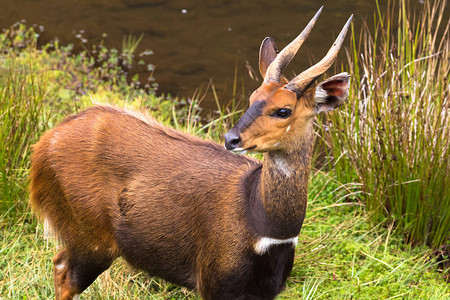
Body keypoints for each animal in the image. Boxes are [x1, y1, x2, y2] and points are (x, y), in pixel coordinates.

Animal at [29, 7, 354, 300]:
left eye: (283, 110)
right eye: (252, 98)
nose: (231, 138)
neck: (264, 229)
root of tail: (43, 145)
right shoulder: (213, 282)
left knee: (58, 263)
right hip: (91, 241)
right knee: (64, 273)